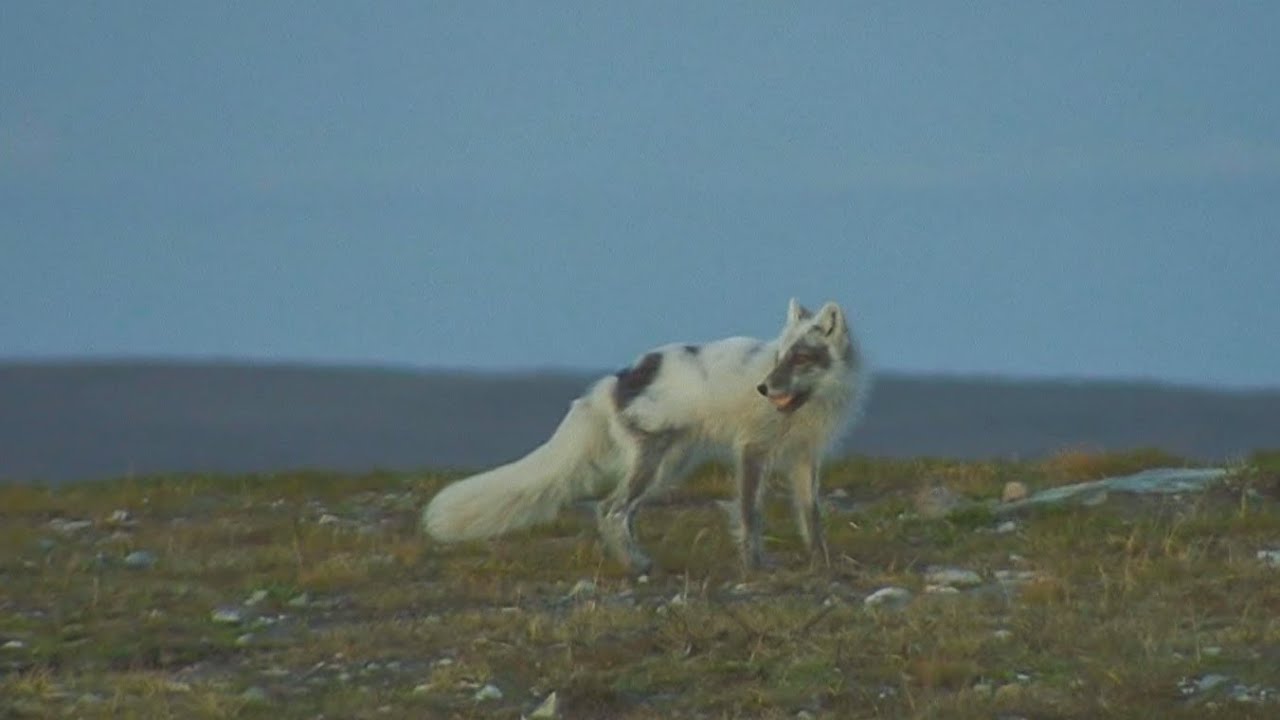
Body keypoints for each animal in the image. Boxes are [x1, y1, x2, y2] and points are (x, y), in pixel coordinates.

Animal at [421, 298, 867, 574]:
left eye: (801, 357)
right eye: (779, 356)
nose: (763, 388)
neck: (810, 404)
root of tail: (614, 381)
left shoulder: (805, 457)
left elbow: (811, 515)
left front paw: (822, 561)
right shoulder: (752, 450)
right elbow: (749, 513)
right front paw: (755, 566)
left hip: (669, 466)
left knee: (623, 513)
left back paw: (637, 561)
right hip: (654, 463)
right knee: (609, 509)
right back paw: (636, 565)